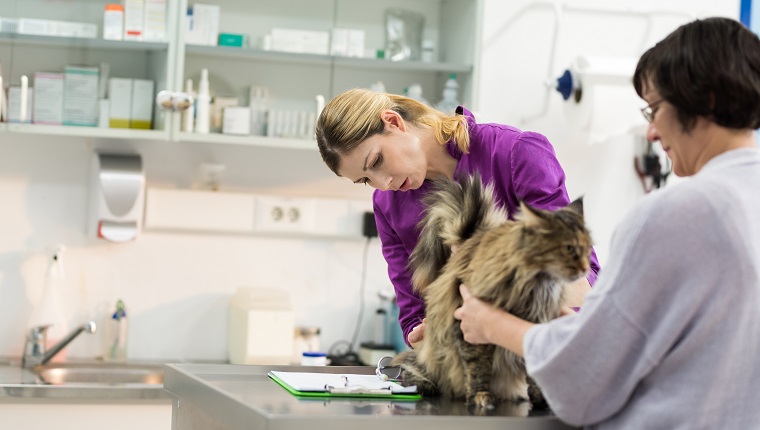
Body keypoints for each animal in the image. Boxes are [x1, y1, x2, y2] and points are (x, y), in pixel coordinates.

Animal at [392, 171, 592, 414]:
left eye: (588, 249)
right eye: (569, 249)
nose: (586, 269)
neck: (536, 287)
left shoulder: (534, 327)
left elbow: (533, 367)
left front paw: (541, 400)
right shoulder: (468, 327)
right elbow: (478, 368)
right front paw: (480, 396)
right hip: (430, 354)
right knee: (412, 368)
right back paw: (426, 386)